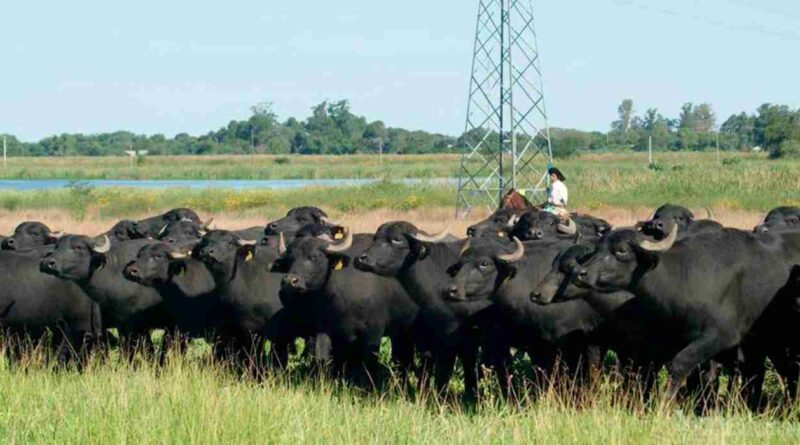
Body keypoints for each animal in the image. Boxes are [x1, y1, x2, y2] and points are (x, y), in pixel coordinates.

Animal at [278, 229, 418, 386]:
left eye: (314, 256)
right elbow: (322, 357)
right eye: (290, 259)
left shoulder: (374, 332)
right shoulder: (326, 329)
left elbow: (369, 362)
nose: (289, 281)